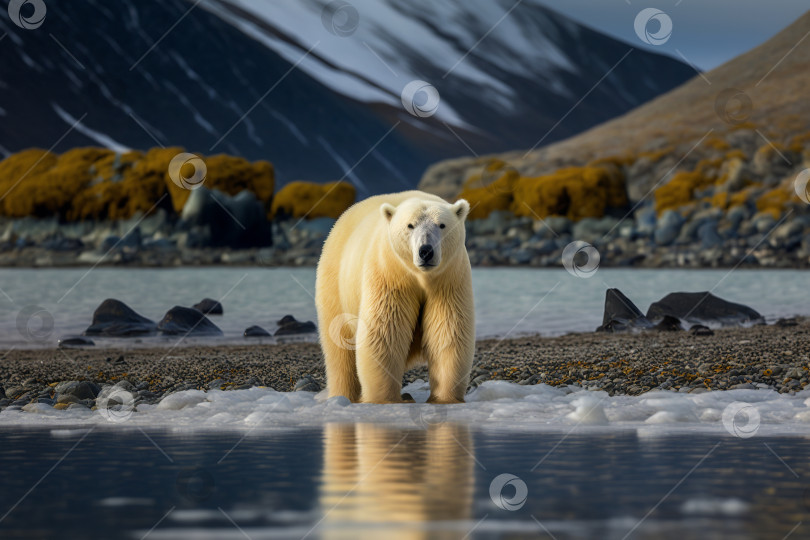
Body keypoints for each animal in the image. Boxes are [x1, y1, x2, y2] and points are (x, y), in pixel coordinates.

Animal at [316, 192, 474, 402]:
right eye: (410, 225)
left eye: (442, 225)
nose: (426, 251)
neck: (419, 276)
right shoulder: (389, 275)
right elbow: (385, 333)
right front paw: (383, 399)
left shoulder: (448, 280)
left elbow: (448, 330)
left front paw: (445, 398)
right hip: (335, 282)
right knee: (339, 347)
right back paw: (343, 395)